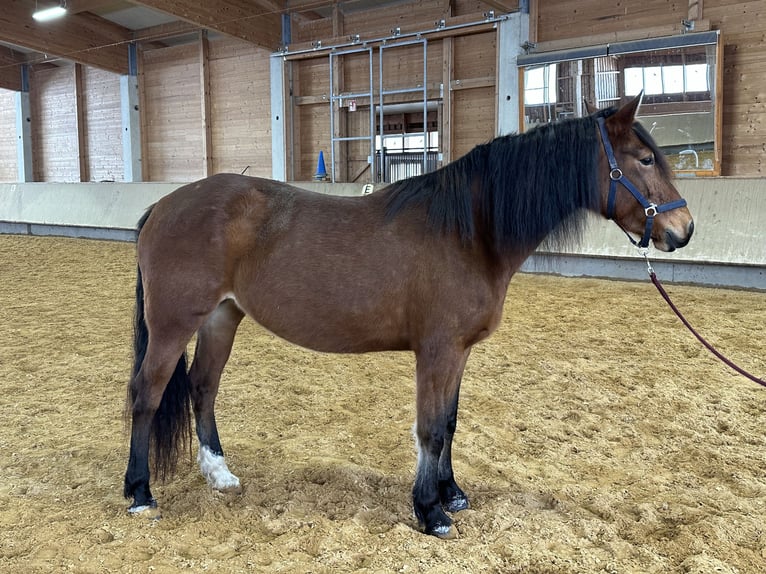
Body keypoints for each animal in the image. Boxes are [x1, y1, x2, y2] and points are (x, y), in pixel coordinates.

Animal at [123, 94, 694, 539]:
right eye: (645, 159)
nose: (684, 230)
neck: (470, 231)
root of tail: (162, 207)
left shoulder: (458, 352)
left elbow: (451, 421)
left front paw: (451, 492)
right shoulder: (436, 351)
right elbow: (430, 429)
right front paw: (430, 512)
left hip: (222, 317)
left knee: (203, 387)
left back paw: (219, 474)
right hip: (173, 324)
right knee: (147, 393)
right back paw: (140, 493)